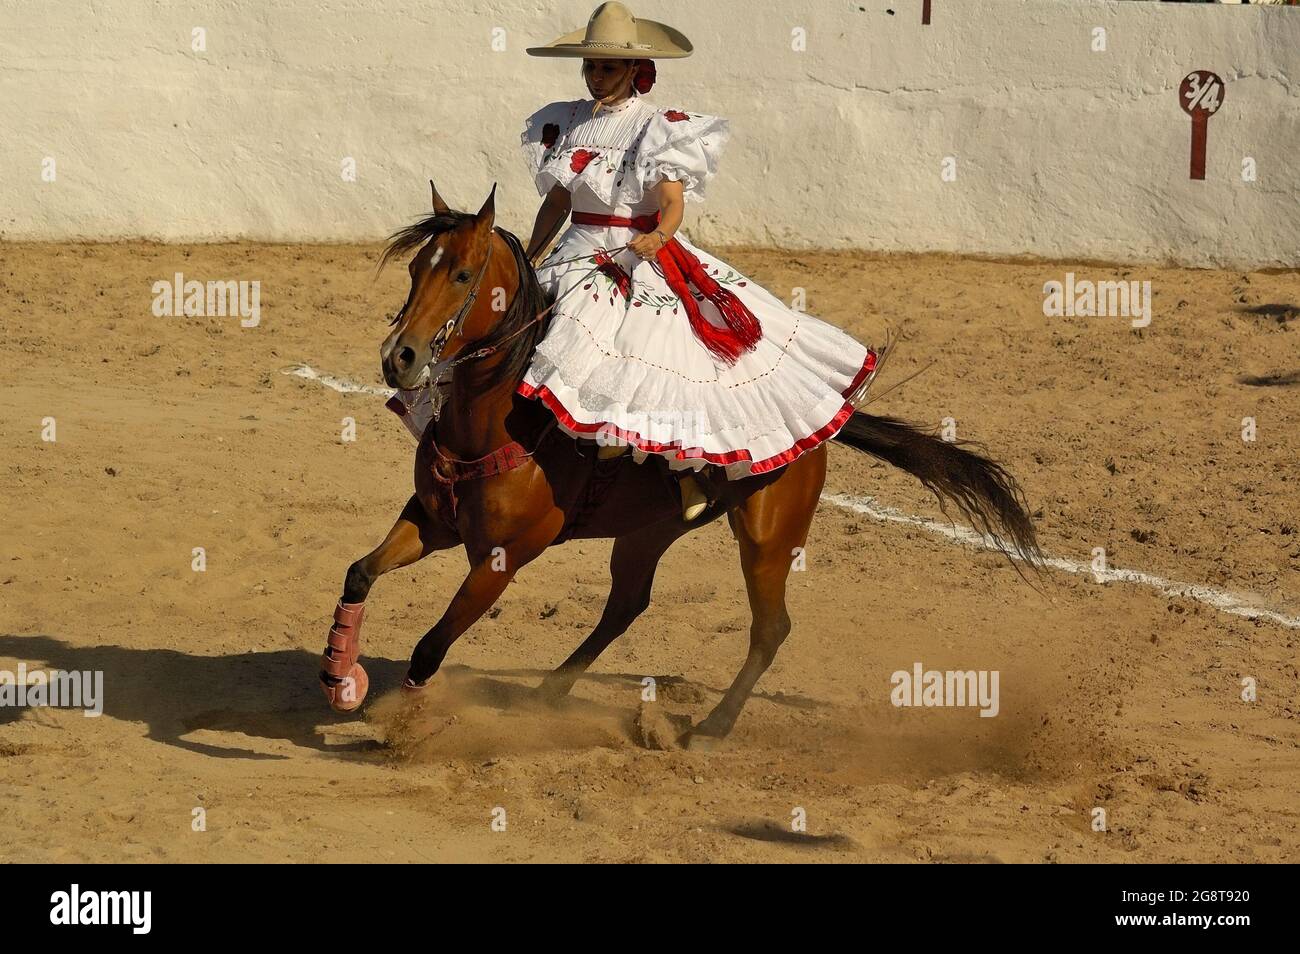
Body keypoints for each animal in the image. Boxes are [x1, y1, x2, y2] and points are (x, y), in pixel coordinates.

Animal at [319, 180, 1040, 748]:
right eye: (416, 269)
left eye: (463, 276)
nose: (400, 358)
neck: (495, 420)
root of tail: (828, 417)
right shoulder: (430, 520)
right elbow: (359, 572)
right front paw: (338, 675)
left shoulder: (500, 561)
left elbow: (432, 643)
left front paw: (399, 722)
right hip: (649, 530)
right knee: (627, 604)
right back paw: (546, 694)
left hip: (768, 536)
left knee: (770, 627)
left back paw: (710, 729)